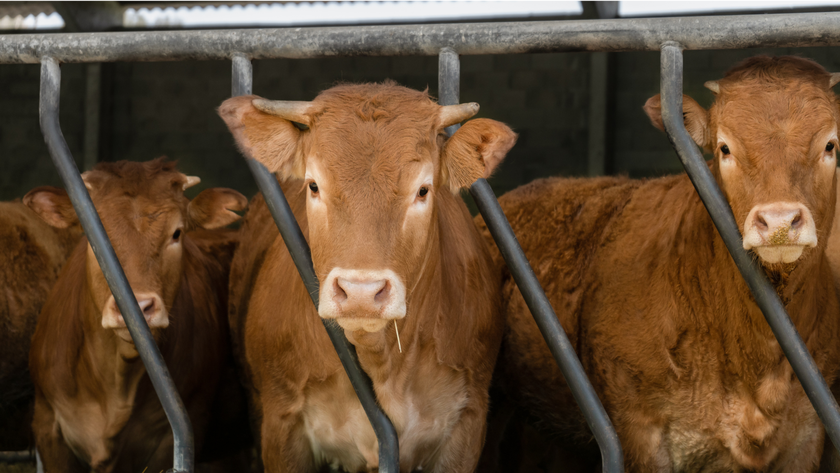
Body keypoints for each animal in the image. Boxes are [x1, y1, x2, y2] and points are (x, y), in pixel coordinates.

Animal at [218, 82, 517, 472]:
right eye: (313, 185)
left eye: (423, 189)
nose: (361, 292)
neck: (383, 362)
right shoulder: (280, 422)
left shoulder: (468, 420)